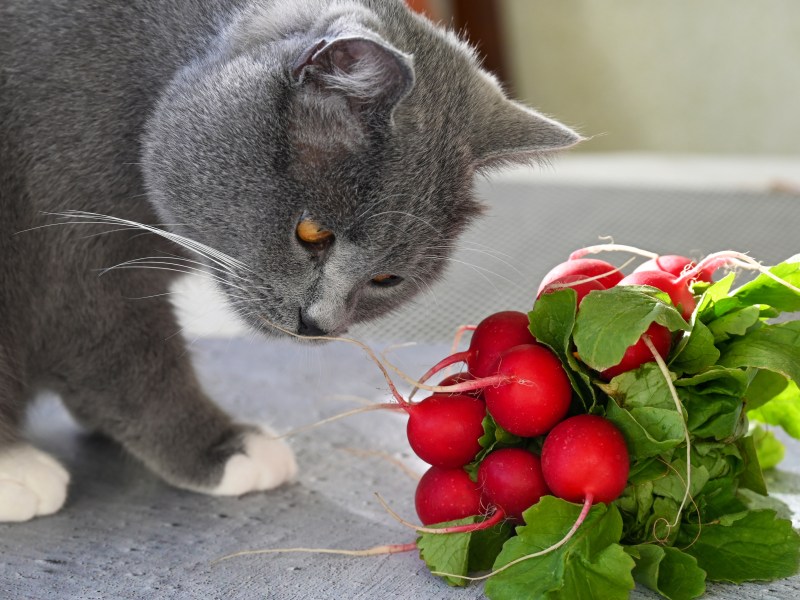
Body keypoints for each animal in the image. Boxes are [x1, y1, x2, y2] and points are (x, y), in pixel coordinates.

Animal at [0, 0, 580, 524]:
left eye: (385, 278)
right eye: (312, 232)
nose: (318, 322)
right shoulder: (79, 259)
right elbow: (134, 363)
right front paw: (225, 450)